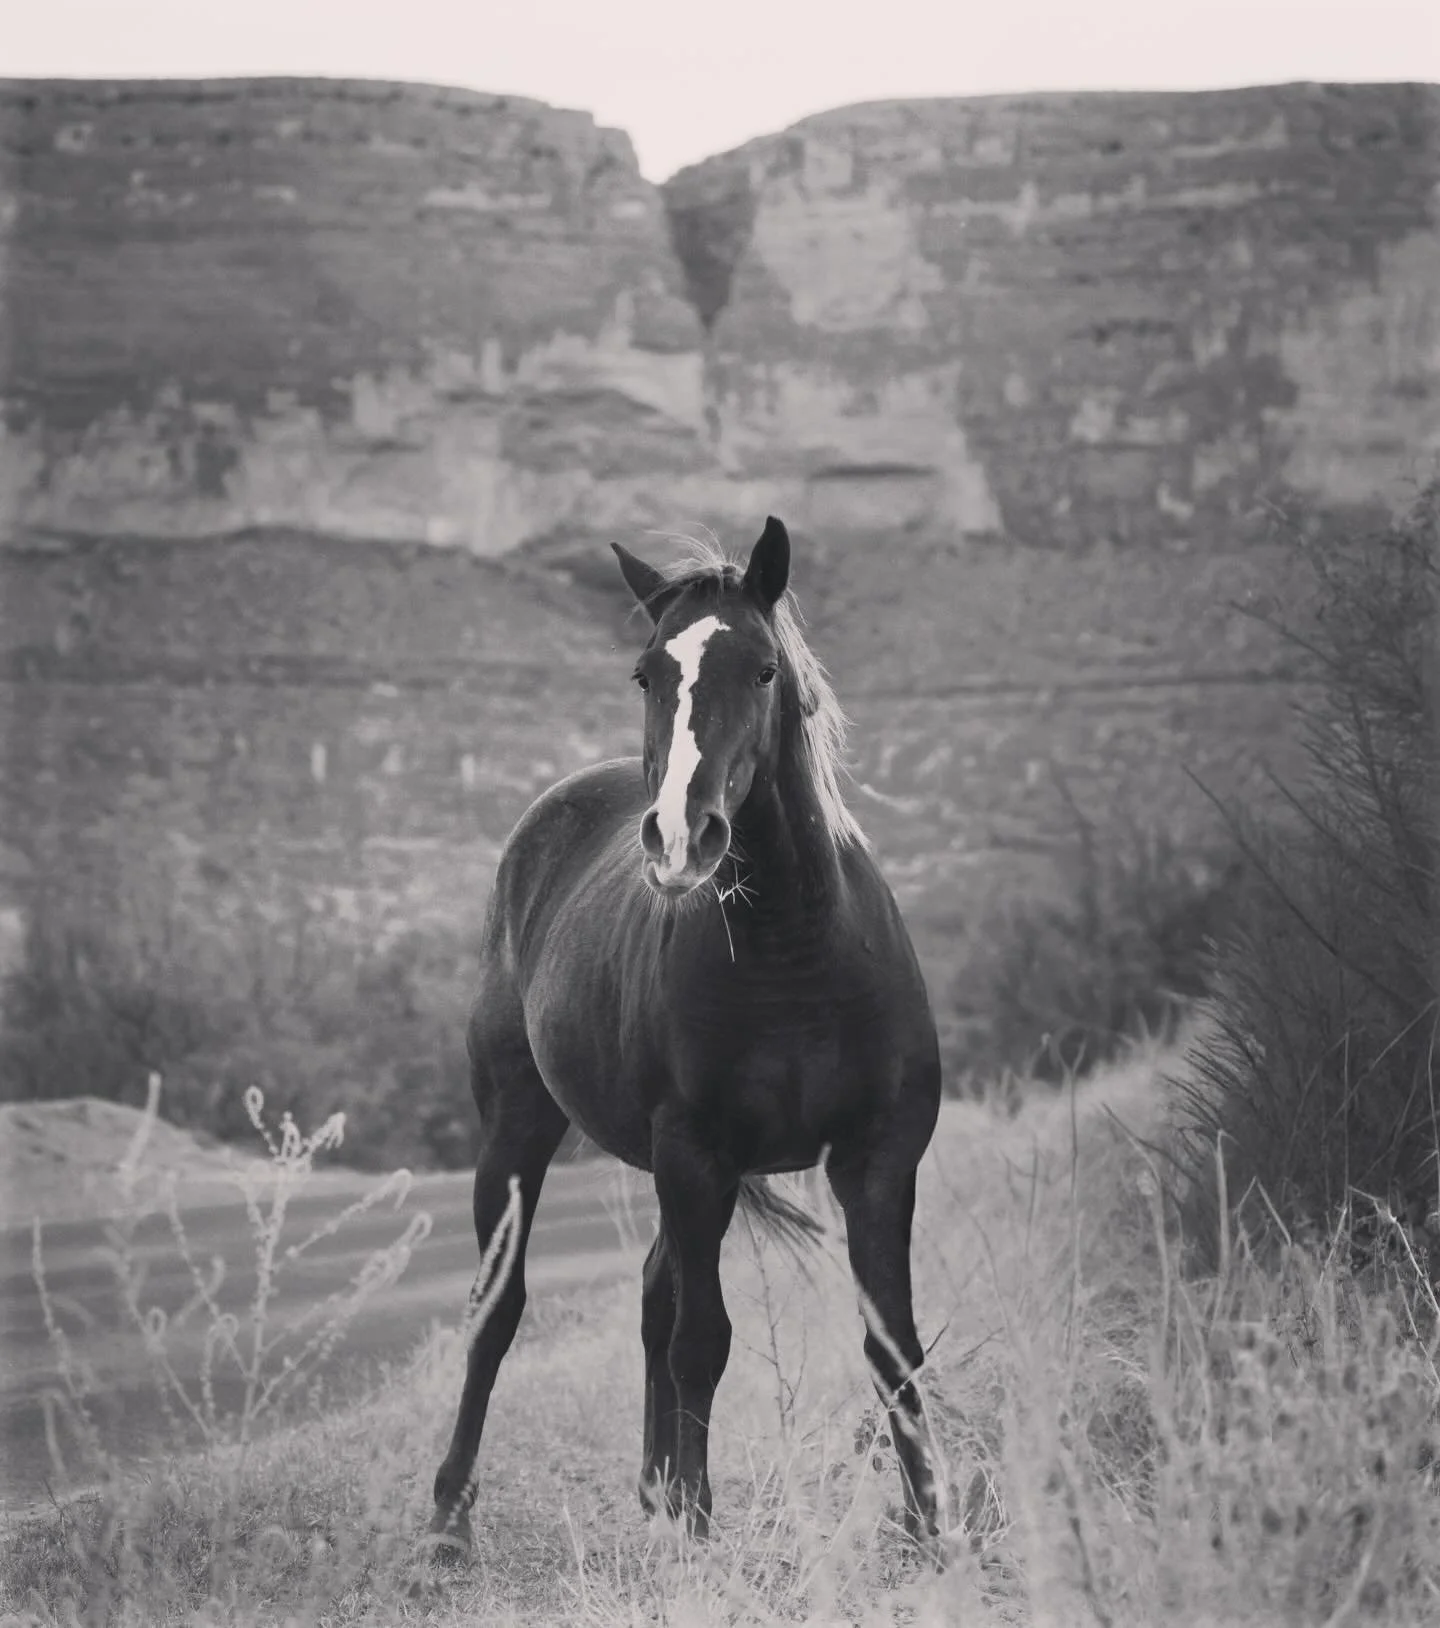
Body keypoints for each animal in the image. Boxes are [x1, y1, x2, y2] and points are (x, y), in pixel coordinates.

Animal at [426, 516, 947, 1556]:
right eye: (646, 674)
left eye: (763, 670)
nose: (678, 839)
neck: (797, 953)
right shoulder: (696, 1155)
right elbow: (702, 1340)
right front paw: (700, 1533)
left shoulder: (878, 1157)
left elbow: (891, 1342)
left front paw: (931, 1526)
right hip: (520, 1131)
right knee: (498, 1309)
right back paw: (451, 1516)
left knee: (652, 1292)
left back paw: (653, 1487)